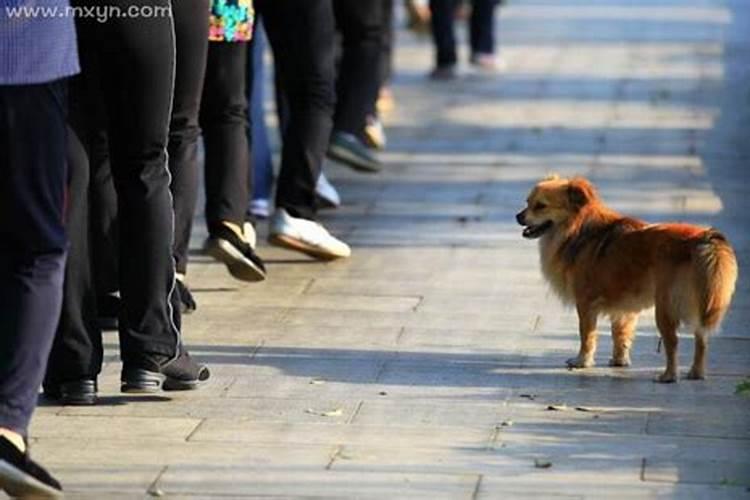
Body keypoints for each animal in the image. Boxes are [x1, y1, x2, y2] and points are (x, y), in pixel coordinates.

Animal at [516, 176, 740, 382]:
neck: (577, 230)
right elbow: (620, 333)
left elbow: (586, 334)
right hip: (701, 303)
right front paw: (619, 361)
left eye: (540, 206)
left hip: (665, 306)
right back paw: (696, 373)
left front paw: (582, 361)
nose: (518, 216)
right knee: (702, 338)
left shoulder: (586, 303)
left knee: (673, 342)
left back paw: (668, 376)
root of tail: (701, 238)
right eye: (527, 202)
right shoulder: (623, 307)